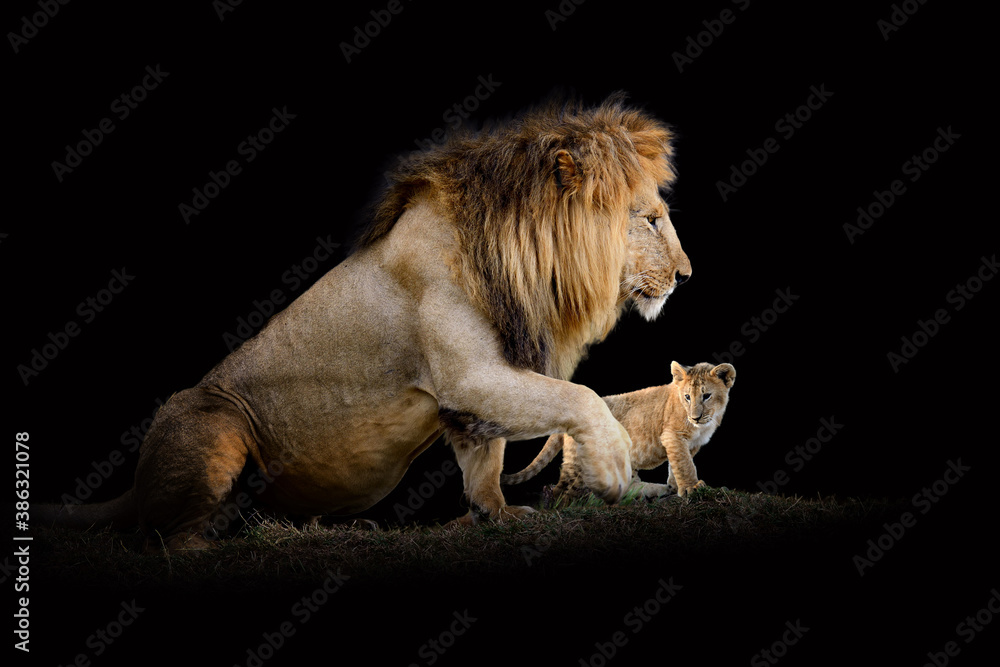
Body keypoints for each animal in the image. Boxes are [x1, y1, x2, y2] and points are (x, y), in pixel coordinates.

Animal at [37, 94, 692, 550]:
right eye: (651, 219)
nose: (687, 276)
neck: (525, 265)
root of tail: (136, 481)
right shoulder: (469, 375)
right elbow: (580, 396)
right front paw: (615, 468)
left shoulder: (467, 398)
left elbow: (484, 464)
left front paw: (494, 517)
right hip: (215, 421)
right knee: (165, 540)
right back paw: (222, 546)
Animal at [502, 361, 735, 500]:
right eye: (687, 397)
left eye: (706, 396)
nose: (695, 417)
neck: (705, 422)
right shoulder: (673, 435)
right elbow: (684, 464)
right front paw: (691, 488)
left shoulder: (691, 443)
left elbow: (676, 464)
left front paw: (674, 487)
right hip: (577, 462)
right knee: (565, 489)